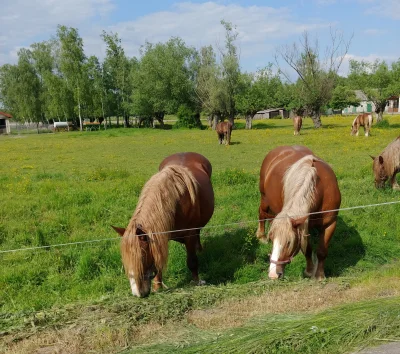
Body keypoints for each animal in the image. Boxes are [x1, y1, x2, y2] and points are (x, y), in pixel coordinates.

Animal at [111, 152, 214, 296]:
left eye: (142, 257)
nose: (138, 293)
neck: (176, 204)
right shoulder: (160, 236)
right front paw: (157, 286)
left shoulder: (189, 234)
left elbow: (192, 261)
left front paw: (197, 281)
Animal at [256, 145, 340, 280]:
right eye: (272, 239)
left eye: (289, 242)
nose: (273, 274)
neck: (320, 189)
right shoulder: (304, 226)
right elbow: (307, 249)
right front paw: (309, 271)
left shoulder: (330, 224)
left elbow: (322, 251)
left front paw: (320, 275)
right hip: (264, 198)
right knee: (262, 213)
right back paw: (261, 236)